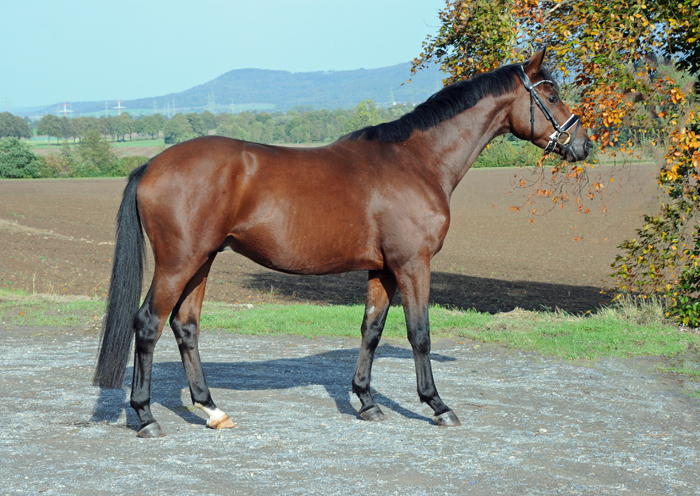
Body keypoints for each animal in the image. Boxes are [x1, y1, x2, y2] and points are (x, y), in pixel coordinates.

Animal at [95, 49, 592, 438]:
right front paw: (437, 405)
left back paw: (212, 410)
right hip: (179, 262)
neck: (416, 161)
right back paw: (145, 417)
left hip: (202, 261)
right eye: (550, 95)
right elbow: (420, 333)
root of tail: (151, 164)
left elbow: (371, 329)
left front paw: (367, 402)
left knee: (186, 326)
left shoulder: (383, 268)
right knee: (148, 325)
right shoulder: (412, 264)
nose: (583, 144)